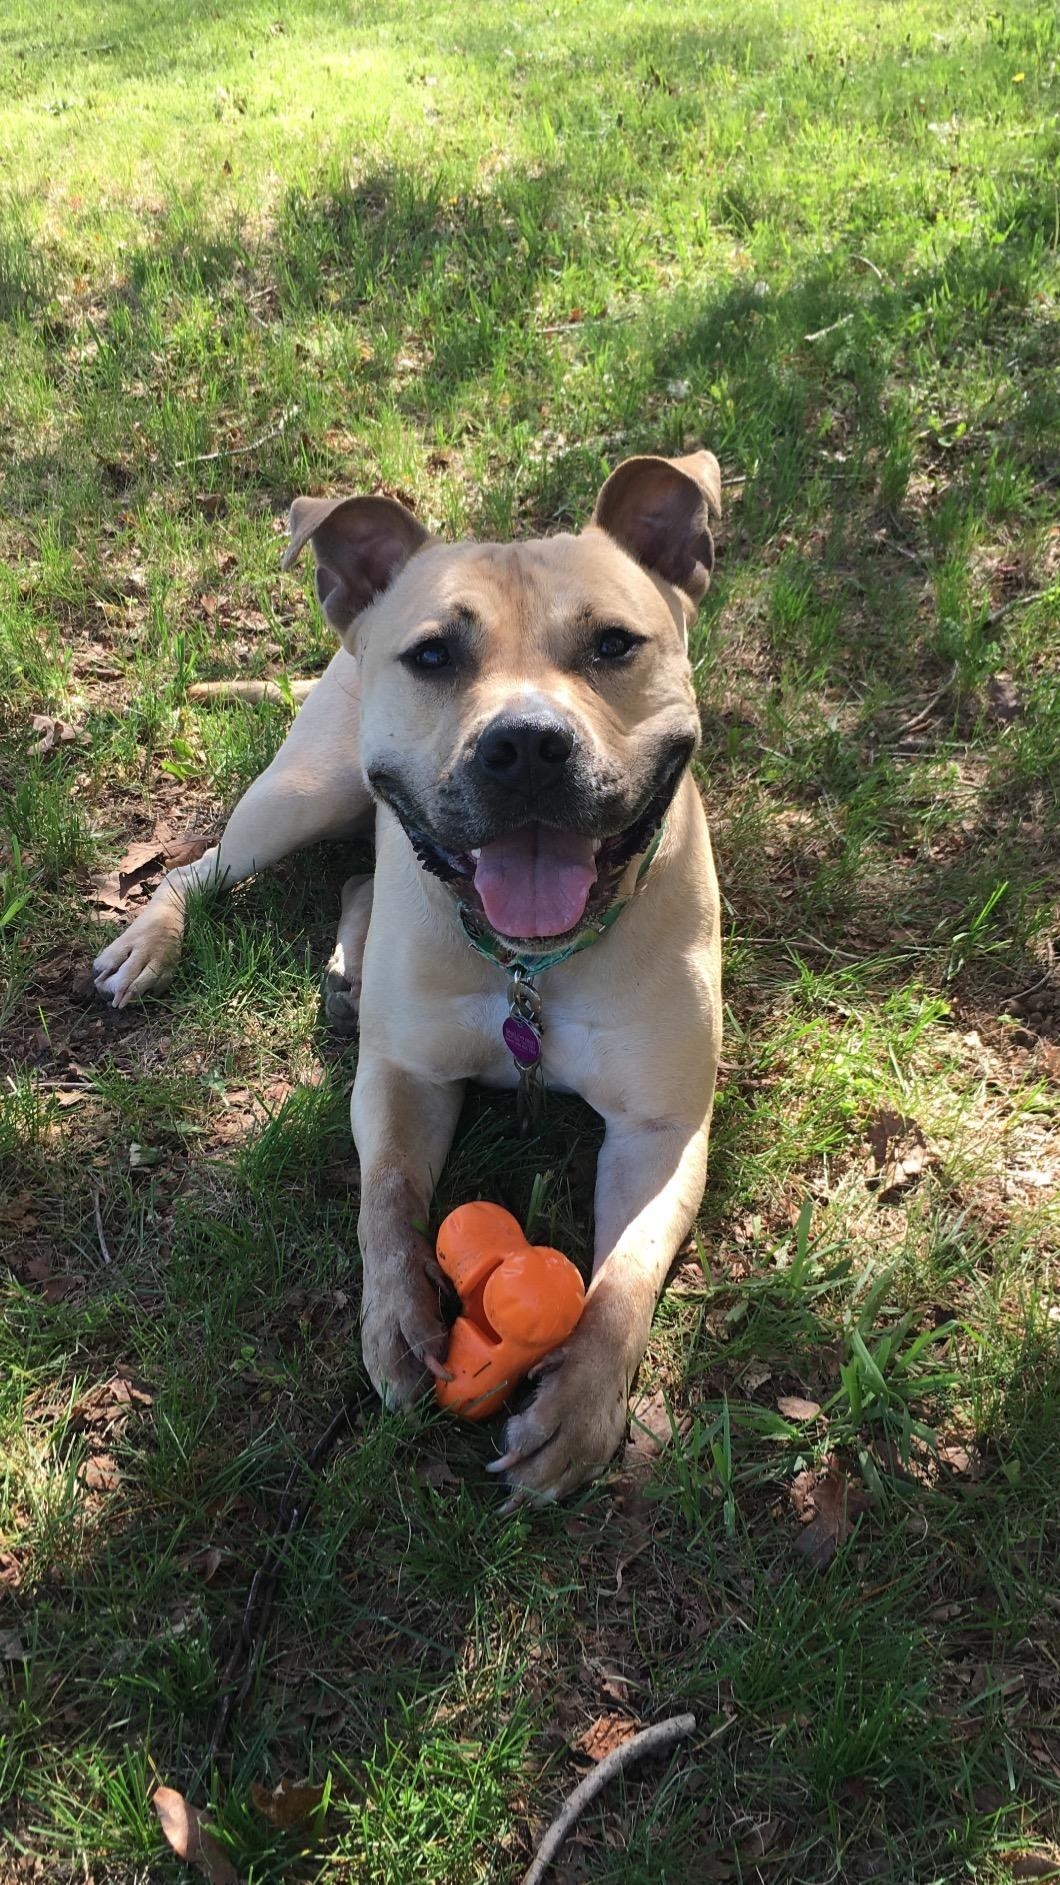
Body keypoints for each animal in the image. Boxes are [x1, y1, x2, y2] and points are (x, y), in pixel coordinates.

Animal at [92, 452, 716, 1500]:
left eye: (614, 644)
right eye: (431, 656)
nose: (526, 744)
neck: (527, 965)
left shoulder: (662, 1132)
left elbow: (621, 1279)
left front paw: (580, 1406)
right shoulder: (403, 1076)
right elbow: (383, 1196)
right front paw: (394, 1319)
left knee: (358, 877)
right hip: (299, 796)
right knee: (200, 867)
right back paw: (154, 939)